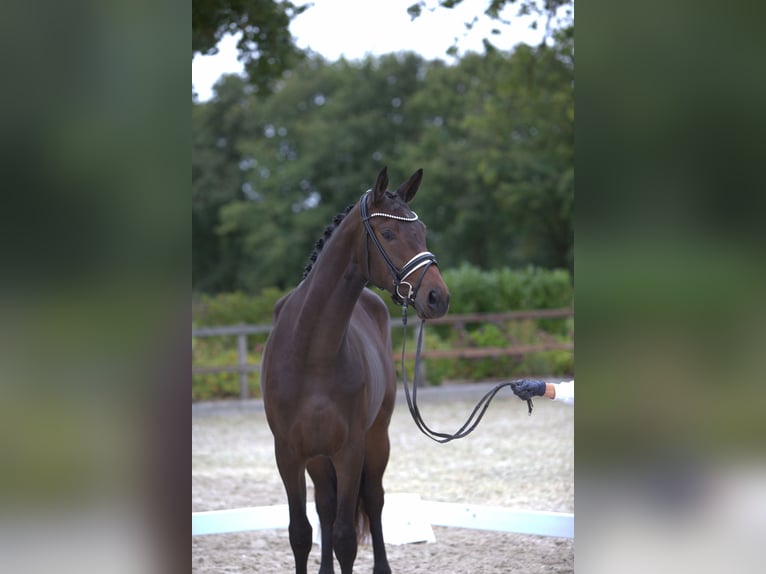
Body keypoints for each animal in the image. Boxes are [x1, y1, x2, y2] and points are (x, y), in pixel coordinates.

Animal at [261, 167, 450, 574]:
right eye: (389, 233)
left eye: (422, 230)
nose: (437, 297)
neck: (312, 353)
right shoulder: (288, 453)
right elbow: (300, 533)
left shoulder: (350, 450)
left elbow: (347, 537)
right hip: (319, 458)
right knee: (325, 507)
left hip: (377, 439)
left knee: (374, 499)